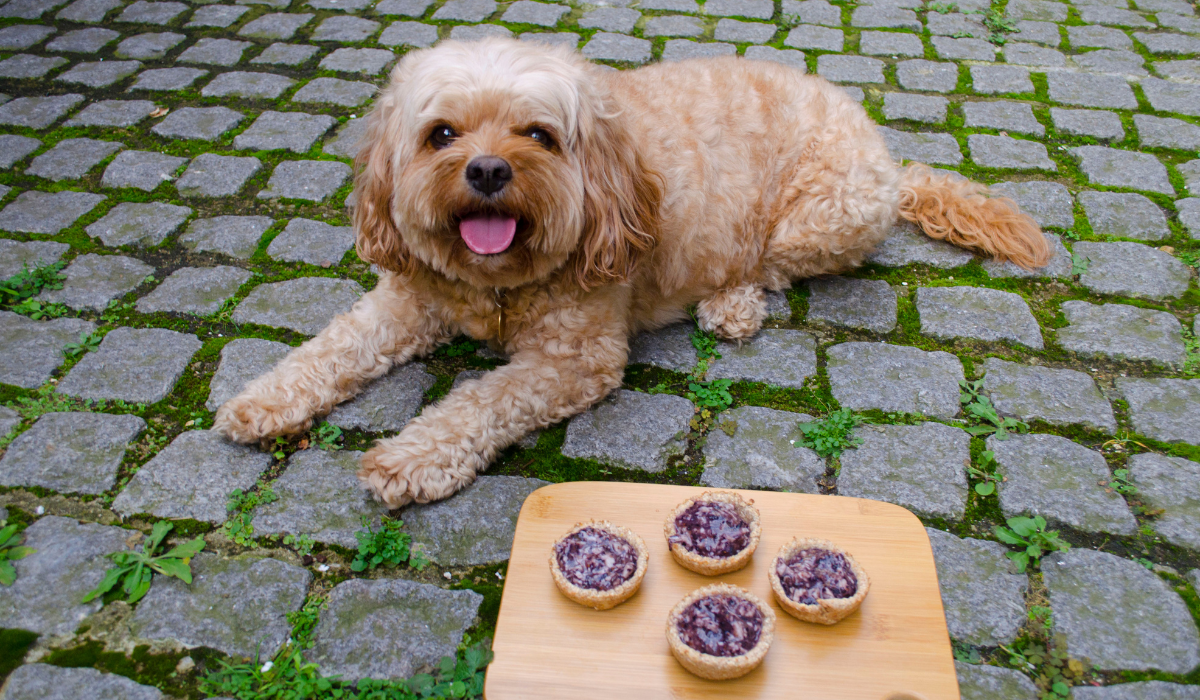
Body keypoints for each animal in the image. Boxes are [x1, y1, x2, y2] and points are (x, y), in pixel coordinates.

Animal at [211, 36, 1046, 509]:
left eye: (538, 134)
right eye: (440, 134)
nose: (486, 170)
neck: (499, 284)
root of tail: (891, 161)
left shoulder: (575, 358)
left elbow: (479, 403)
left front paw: (410, 458)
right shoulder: (408, 300)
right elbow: (333, 347)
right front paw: (263, 399)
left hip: (821, 216)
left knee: (768, 265)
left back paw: (733, 304)